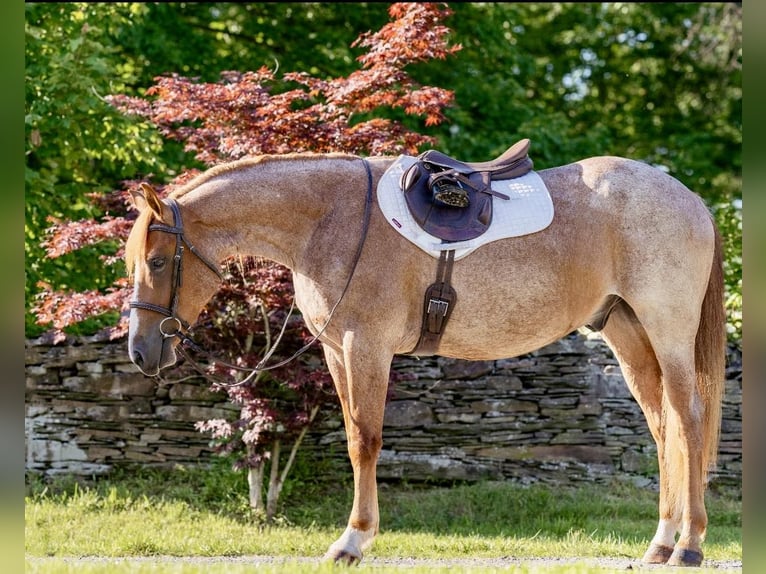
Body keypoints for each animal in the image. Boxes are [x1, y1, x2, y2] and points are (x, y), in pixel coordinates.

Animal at [125, 150, 726, 567]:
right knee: (663, 427)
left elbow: (366, 441)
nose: (140, 350)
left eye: (156, 261)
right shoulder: (338, 352)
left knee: (689, 421)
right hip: (629, 336)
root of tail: (691, 200)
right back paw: (661, 543)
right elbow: (353, 436)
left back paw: (690, 545)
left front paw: (353, 541)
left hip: (667, 333)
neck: (330, 219)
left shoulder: (365, 347)